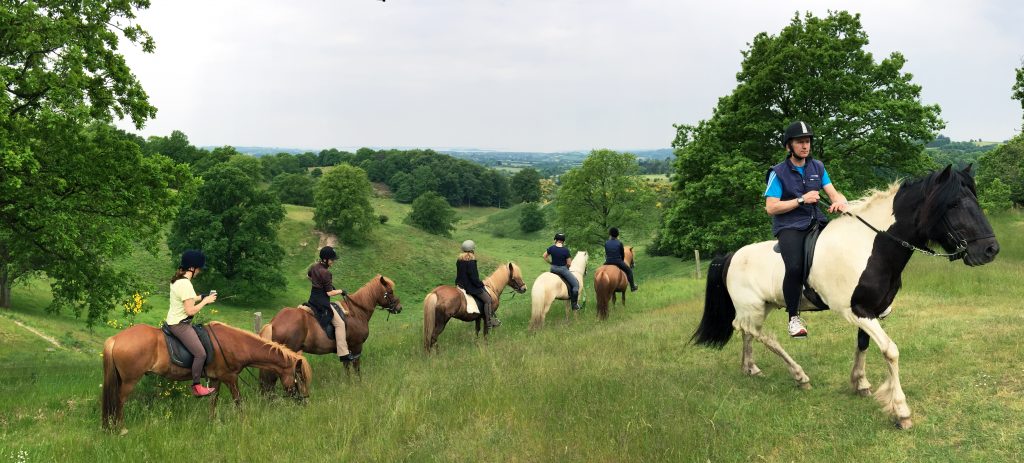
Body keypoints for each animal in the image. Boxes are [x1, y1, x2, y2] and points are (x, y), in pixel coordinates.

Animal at [104, 319, 313, 428]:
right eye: (300, 379)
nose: (305, 402)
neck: (236, 344)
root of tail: (116, 339)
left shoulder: (215, 378)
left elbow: (213, 401)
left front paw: (212, 423)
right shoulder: (230, 377)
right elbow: (238, 401)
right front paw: (245, 423)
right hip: (130, 380)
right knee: (119, 400)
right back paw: (121, 428)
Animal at [258, 274, 401, 387]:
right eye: (390, 291)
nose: (399, 308)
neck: (356, 311)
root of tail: (274, 322)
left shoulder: (347, 350)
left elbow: (346, 367)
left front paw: (348, 383)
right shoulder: (356, 347)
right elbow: (356, 367)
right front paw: (358, 384)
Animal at [692, 164, 995, 428]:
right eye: (953, 205)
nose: (990, 250)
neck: (870, 246)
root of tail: (732, 256)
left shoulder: (870, 309)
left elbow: (863, 344)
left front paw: (860, 383)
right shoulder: (856, 311)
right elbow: (890, 351)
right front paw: (901, 411)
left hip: (760, 307)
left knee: (746, 332)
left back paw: (750, 368)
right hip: (753, 307)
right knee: (760, 334)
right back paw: (799, 375)